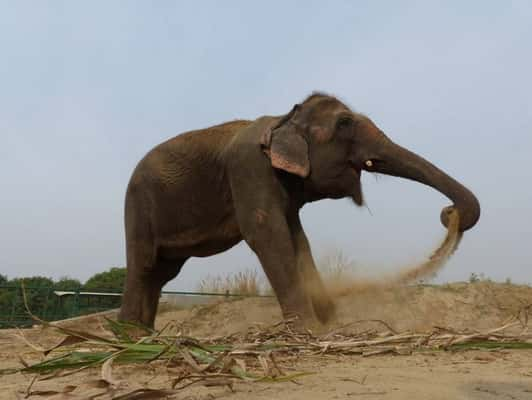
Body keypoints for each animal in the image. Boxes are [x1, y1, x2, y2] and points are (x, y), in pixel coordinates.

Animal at [117, 93, 482, 328]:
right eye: (345, 122)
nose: (450, 212)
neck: (283, 118)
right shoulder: (249, 169)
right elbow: (267, 233)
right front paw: (309, 330)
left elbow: (297, 238)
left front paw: (330, 322)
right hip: (138, 205)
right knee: (143, 264)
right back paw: (129, 338)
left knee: (161, 273)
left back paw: (142, 336)